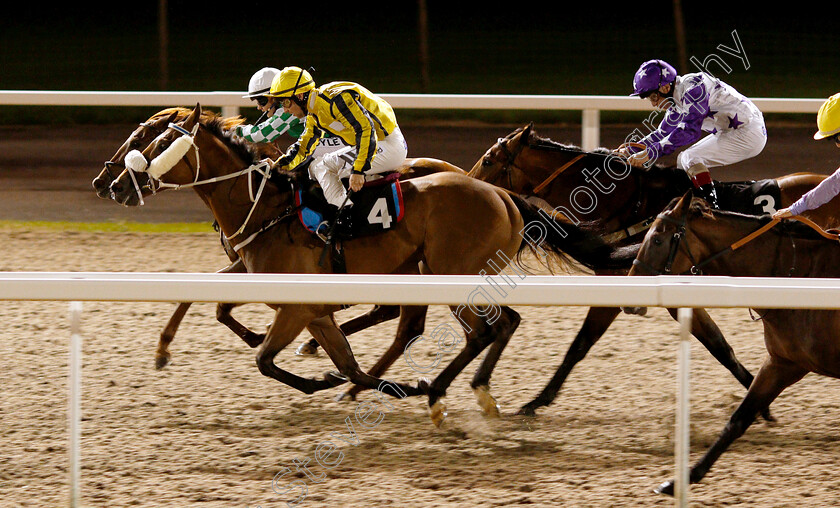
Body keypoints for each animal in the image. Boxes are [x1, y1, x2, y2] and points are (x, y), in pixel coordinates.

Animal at [103, 105, 632, 426]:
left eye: (152, 143)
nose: (111, 184)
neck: (265, 205)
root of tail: (499, 193)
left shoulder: (298, 307)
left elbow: (266, 359)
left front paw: (353, 382)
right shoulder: (301, 305)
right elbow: (339, 361)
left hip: (448, 274)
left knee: (482, 328)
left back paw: (442, 392)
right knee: (488, 325)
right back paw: (465, 391)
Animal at [470, 122, 836, 416]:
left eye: (487, 160)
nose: (469, 184)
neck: (630, 202)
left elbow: (717, 345)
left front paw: (763, 406)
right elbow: (581, 343)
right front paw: (536, 401)